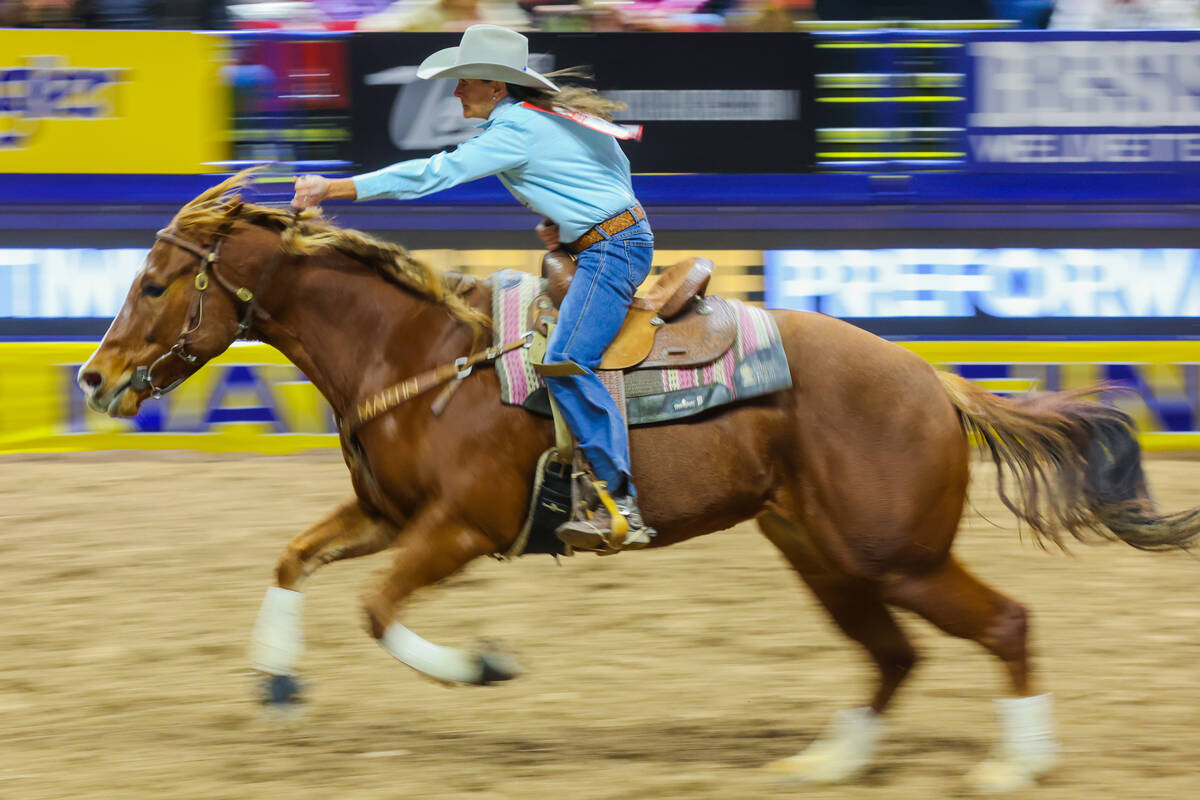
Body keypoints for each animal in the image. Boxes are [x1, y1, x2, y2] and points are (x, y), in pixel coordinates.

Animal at [77, 172, 1200, 791]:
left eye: (155, 283)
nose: (93, 377)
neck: (424, 353)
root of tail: (930, 377)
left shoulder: (462, 527)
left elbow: (378, 606)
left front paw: (482, 668)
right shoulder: (388, 512)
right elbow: (293, 558)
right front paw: (275, 681)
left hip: (896, 551)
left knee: (1004, 623)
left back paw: (1015, 764)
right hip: (822, 552)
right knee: (892, 655)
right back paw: (831, 763)